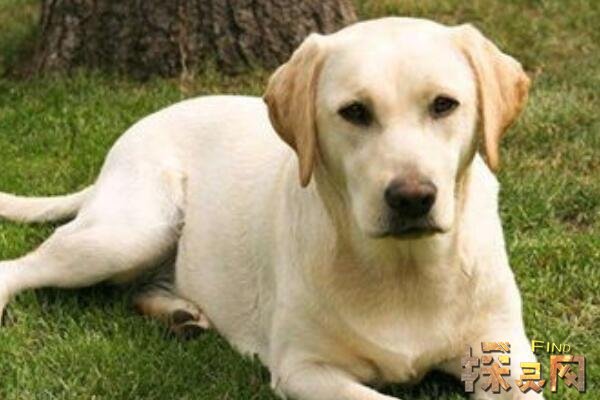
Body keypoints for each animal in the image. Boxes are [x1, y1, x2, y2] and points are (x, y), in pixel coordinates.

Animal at [0, 17, 540, 399]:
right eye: (355, 112)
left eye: (444, 104)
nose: (411, 197)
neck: (404, 270)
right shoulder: (304, 369)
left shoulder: (506, 353)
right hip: (131, 230)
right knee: (20, 267)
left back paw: (180, 313)